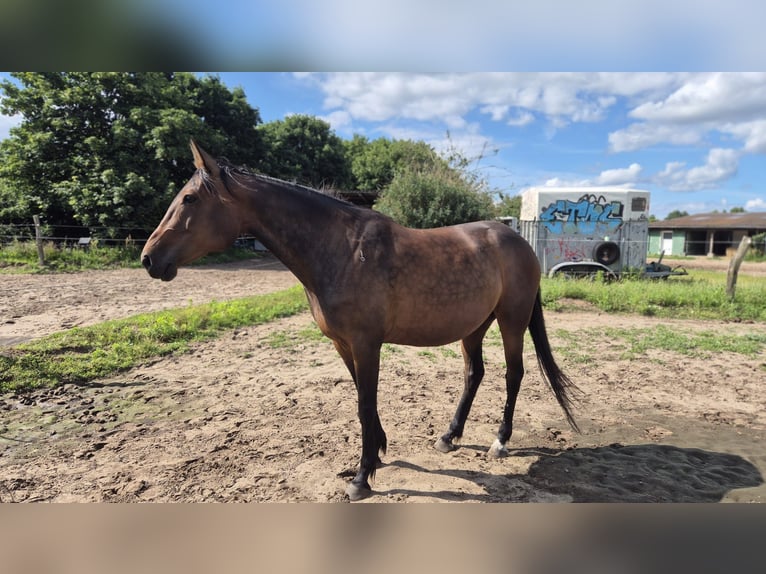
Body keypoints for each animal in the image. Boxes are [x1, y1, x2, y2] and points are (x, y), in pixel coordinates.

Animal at [141, 140, 580, 501]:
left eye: (190, 199)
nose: (149, 258)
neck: (342, 251)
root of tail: (517, 241)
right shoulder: (343, 344)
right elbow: (361, 400)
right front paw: (378, 453)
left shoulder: (367, 343)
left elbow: (365, 403)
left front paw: (361, 477)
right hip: (474, 326)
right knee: (475, 374)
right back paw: (448, 436)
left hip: (511, 320)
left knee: (514, 374)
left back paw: (500, 441)